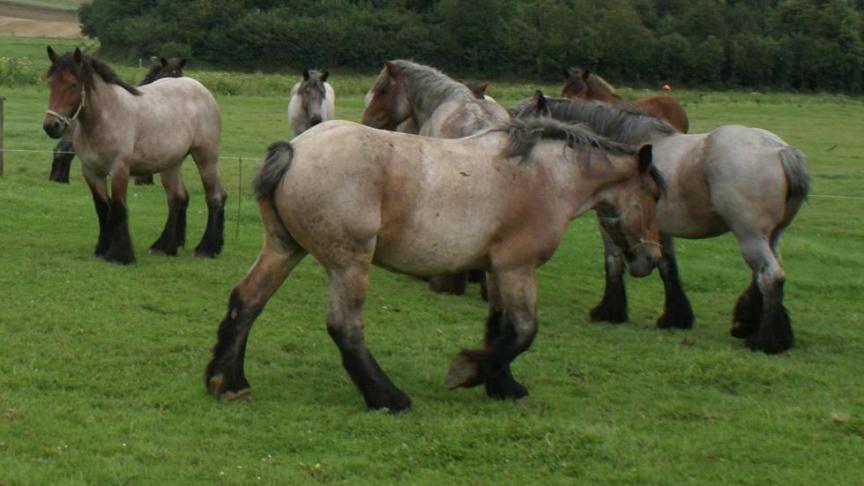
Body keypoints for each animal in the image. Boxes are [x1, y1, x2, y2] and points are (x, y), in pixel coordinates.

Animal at [204, 117, 665, 410]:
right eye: (654, 195)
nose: (652, 258)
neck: (546, 177)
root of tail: (294, 149)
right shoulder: (517, 268)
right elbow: (522, 331)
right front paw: (470, 372)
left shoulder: (497, 270)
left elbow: (499, 329)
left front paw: (502, 384)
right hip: (348, 265)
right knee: (344, 328)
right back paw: (388, 398)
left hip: (285, 250)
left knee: (246, 302)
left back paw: (227, 383)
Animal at [510, 93, 810, 354]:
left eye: (523, 123)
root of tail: (780, 150)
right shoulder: (659, 232)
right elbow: (668, 267)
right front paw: (675, 318)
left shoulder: (610, 224)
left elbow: (614, 264)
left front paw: (608, 312)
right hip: (771, 235)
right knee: (765, 274)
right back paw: (750, 326)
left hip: (750, 236)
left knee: (770, 276)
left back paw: (766, 341)